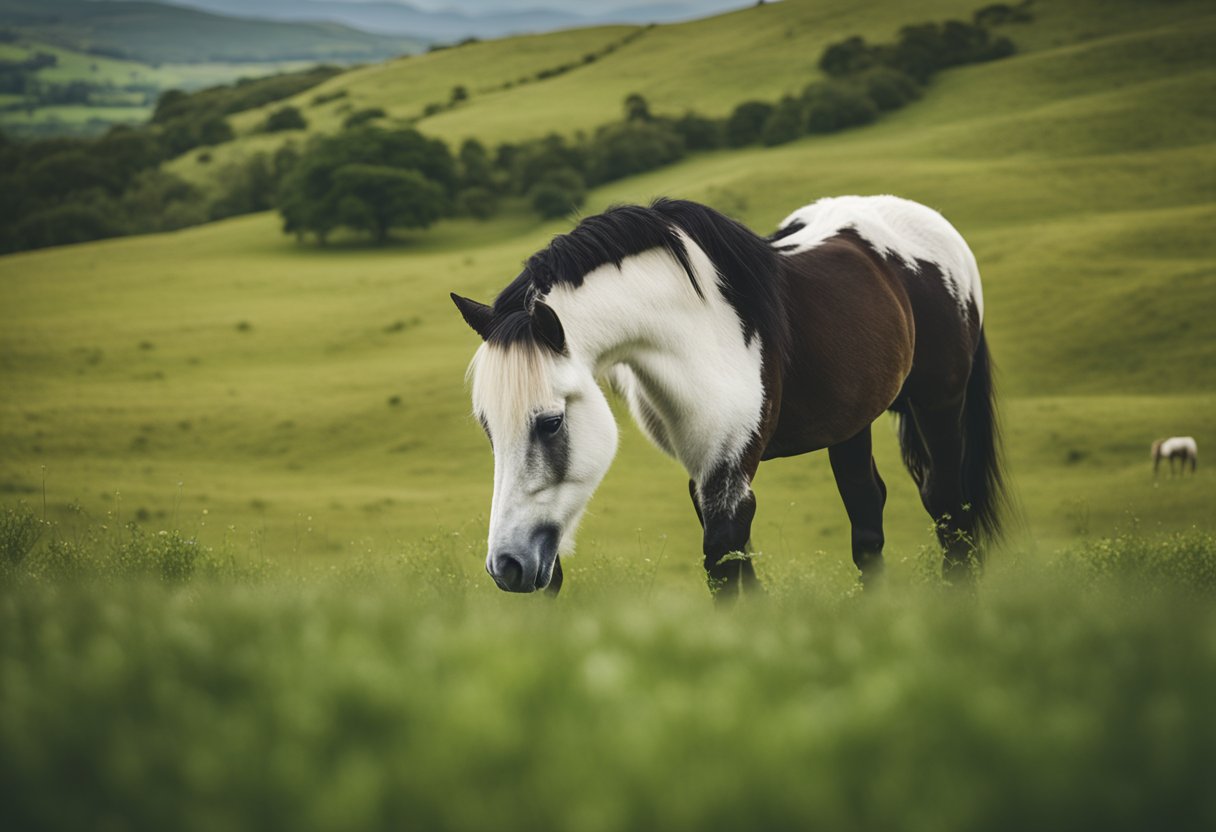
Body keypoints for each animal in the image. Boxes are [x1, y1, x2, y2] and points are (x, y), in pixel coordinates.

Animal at [454, 197, 1006, 598]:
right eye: (487, 427)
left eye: (550, 422)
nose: (507, 566)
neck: (697, 332)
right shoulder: (704, 471)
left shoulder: (730, 469)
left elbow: (724, 564)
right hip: (851, 424)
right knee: (867, 511)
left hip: (940, 404)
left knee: (947, 502)